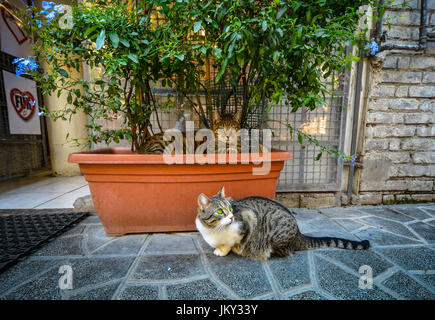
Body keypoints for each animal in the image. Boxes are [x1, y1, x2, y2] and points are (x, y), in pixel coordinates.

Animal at [196, 188, 370, 260]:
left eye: (231, 208)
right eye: (220, 211)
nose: (232, 217)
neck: (214, 230)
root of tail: (298, 232)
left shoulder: (248, 219)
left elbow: (231, 243)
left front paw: (223, 250)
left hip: (275, 231)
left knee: (287, 251)